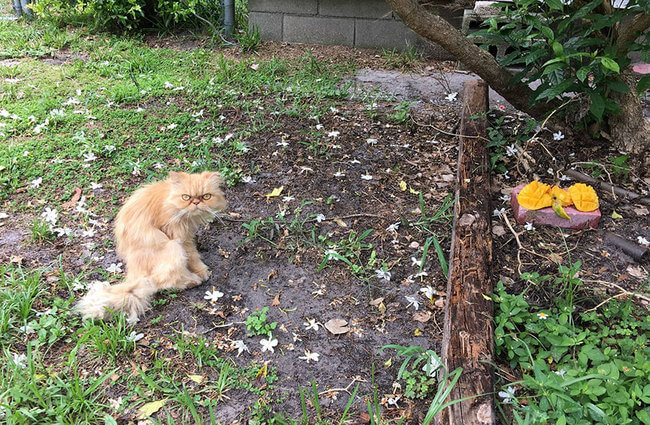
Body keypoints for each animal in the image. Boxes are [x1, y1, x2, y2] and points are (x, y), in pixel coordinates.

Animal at [77, 171, 225, 320]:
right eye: (186, 197)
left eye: (206, 196)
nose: (196, 202)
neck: (169, 200)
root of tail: (134, 273)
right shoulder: (181, 237)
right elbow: (193, 256)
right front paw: (202, 272)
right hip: (173, 247)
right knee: (164, 281)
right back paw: (193, 281)